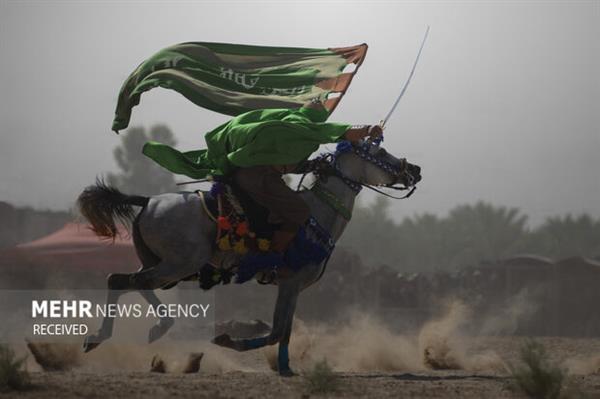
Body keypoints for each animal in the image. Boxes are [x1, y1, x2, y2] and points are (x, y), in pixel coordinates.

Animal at [77, 139, 420, 376]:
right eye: (380, 152)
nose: (415, 170)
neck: (317, 214)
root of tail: (148, 201)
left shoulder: (294, 287)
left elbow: (285, 330)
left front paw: (286, 368)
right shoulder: (291, 281)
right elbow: (277, 331)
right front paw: (230, 342)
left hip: (164, 264)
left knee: (128, 281)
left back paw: (143, 328)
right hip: (179, 264)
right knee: (123, 281)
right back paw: (121, 333)